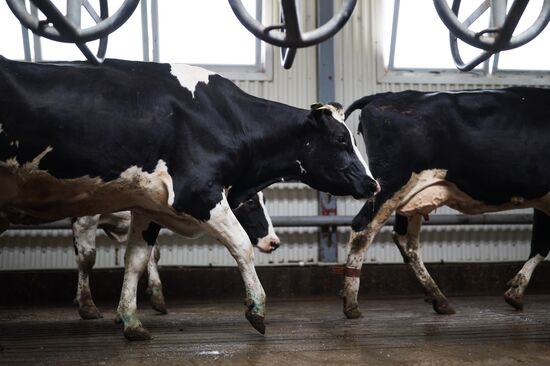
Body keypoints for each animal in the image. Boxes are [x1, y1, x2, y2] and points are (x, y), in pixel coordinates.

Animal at [72, 192, 280, 320]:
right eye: (251, 202)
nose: (274, 242)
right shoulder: (85, 217)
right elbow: (87, 257)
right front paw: (87, 306)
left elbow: (150, 254)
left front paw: (156, 296)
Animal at [342, 87, 550, 318]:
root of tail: (383, 96)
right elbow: (542, 244)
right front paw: (515, 293)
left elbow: (540, 243)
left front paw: (516, 292)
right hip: (390, 184)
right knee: (363, 228)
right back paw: (351, 304)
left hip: (408, 196)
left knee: (406, 240)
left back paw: (439, 299)